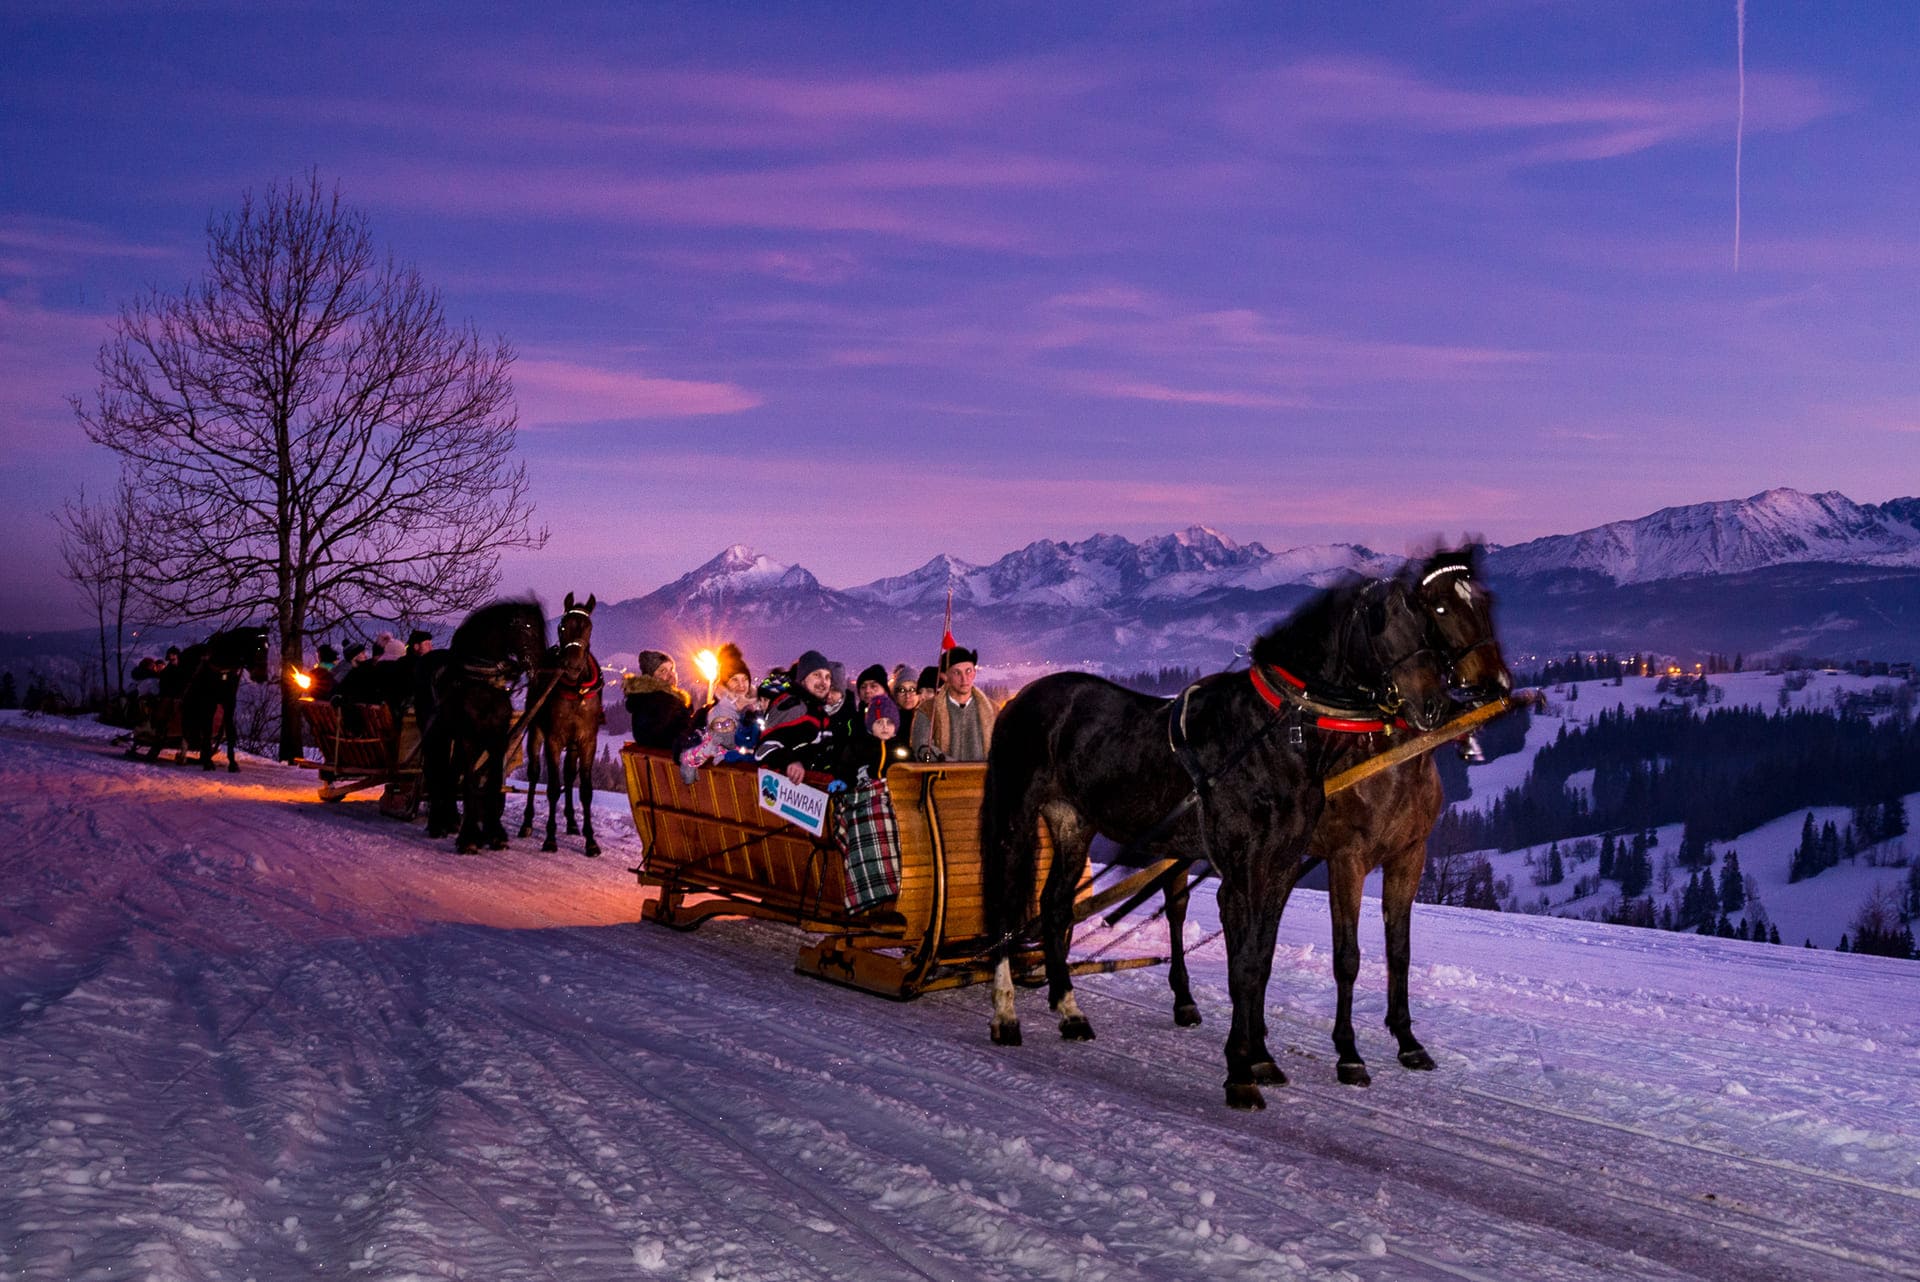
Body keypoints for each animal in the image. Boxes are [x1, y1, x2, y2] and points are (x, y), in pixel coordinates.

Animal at [176, 621, 268, 771]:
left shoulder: (229, 702)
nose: (262, 676)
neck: (222, 664)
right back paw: (183, 755)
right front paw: (208, 762)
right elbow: (207, 729)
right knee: (187, 721)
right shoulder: (210, 701)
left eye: (268, 646)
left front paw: (232, 763)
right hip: (189, 698)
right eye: (258, 647)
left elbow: (229, 730)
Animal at [418, 598, 541, 852]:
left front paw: (494, 833)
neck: (483, 682)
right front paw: (469, 838)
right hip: (436, 733)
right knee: (436, 772)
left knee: (450, 773)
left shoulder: (497, 737)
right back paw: (437, 823)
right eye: (526, 627)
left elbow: (491, 782)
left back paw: (450, 820)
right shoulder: (469, 736)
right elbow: (471, 782)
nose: (540, 663)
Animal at [514, 594, 602, 855]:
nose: (572, 665)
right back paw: (527, 823)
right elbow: (552, 787)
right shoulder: (553, 739)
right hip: (535, 731)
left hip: (572, 745)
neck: (577, 689)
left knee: (569, 775)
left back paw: (572, 822)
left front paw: (591, 840)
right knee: (534, 774)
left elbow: (585, 790)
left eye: (589, 627)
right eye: (562, 626)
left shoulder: (587, 741)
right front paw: (550, 838)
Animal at [990, 564, 1451, 1105]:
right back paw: (1005, 1013)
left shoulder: (1280, 866)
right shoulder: (1242, 871)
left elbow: (1261, 962)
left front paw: (1260, 1058)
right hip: (1015, 817)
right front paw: (1241, 1072)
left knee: (1056, 905)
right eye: (1381, 621)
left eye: (1428, 621)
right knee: (1005, 904)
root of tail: (1022, 697)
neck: (1273, 734)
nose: (1433, 705)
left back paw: (1069, 1010)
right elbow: (1243, 966)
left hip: (1072, 823)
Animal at [1136, 545, 1512, 1090]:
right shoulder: (1346, 860)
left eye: (1485, 601)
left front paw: (1407, 1040)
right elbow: (1347, 957)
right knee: (1179, 906)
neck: (1393, 761)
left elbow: (1399, 951)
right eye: (1438, 610)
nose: (1495, 685)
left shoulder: (1409, 856)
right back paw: (1187, 1001)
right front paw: (1348, 1052)